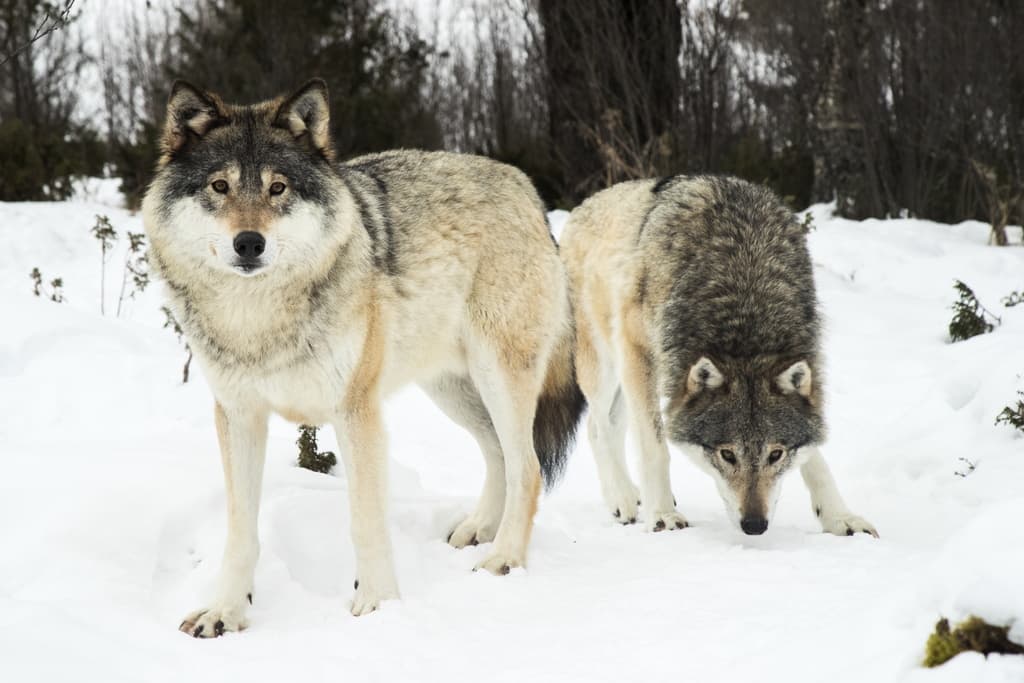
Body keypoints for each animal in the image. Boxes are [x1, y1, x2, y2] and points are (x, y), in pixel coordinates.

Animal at [142, 79, 584, 637]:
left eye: (278, 188)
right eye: (220, 186)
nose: (249, 243)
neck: (258, 317)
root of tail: (526, 189)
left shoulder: (357, 413)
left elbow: (365, 522)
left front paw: (378, 608)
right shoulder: (239, 416)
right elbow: (241, 531)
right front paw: (226, 611)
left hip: (497, 377)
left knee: (528, 467)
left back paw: (503, 558)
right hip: (453, 392)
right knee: (500, 454)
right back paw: (479, 529)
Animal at [560, 175, 876, 537]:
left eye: (776, 454)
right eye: (727, 454)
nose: (754, 525)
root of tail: (583, 206)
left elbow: (816, 457)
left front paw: (840, 517)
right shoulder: (638, 350)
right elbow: (655, 447)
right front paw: (663, 515)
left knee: (613, 425)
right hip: (606, 365)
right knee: (596, 426)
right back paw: (622, 498)